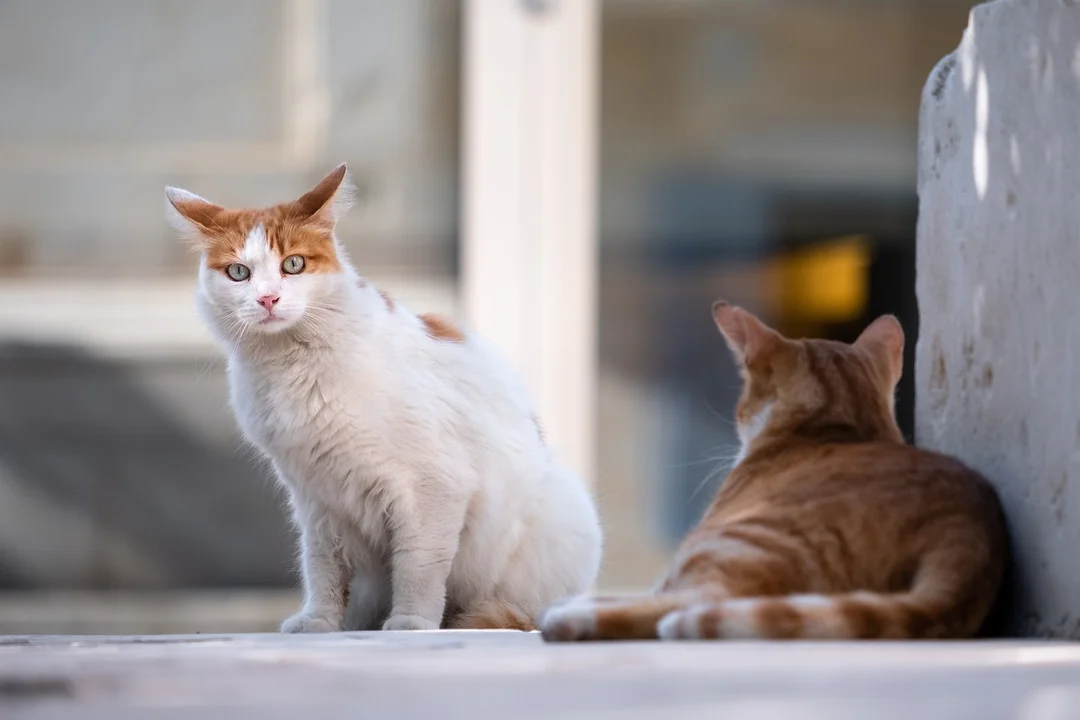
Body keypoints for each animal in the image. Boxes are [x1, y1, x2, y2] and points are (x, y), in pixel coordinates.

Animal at [165, 166, 604, 634]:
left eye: (293, 264)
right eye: (238, 273)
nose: (268, 298)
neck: (291, 365)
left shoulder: (431, 489)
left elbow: (417, 566)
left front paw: (411, 622)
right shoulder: (317, 501)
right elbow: (321, 569)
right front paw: (320, 621)